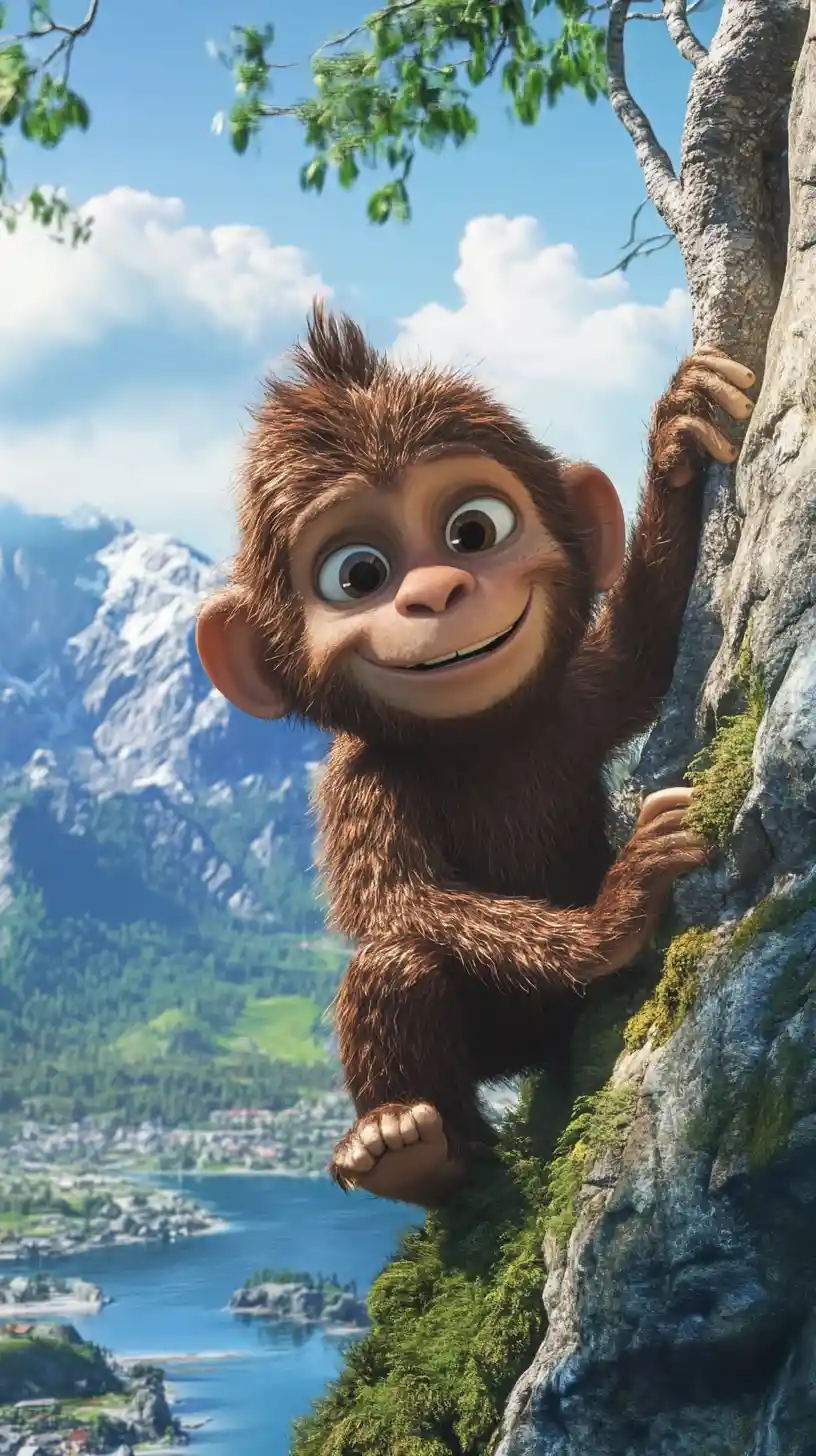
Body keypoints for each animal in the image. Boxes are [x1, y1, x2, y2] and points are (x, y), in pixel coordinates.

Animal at [196, 302, 755, 1208]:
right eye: (358, 575)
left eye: (474, 529)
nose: (435, 593)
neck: (480, 739)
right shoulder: (360, 780)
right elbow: (397, 901)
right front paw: (617, 908)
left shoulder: (570, 701)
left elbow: (640, 655)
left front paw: (677, 439)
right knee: (395, 964)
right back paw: (411, 1147)